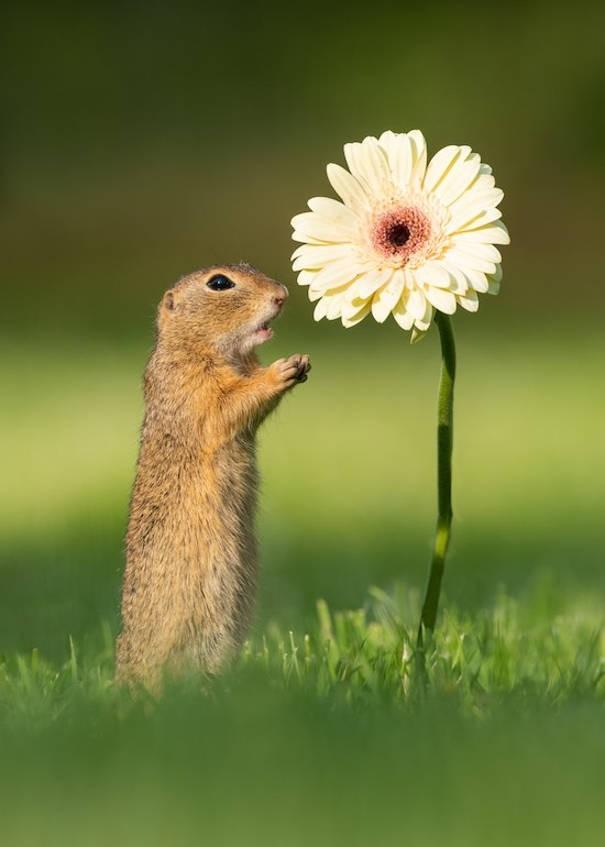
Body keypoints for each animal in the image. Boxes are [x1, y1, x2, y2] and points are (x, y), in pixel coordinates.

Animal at [116, 263, 310, 686]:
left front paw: (302, 362)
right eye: (219, 283)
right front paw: (283, 369)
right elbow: (229, 407)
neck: (194, 345)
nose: (282, 294)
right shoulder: (194, 389)